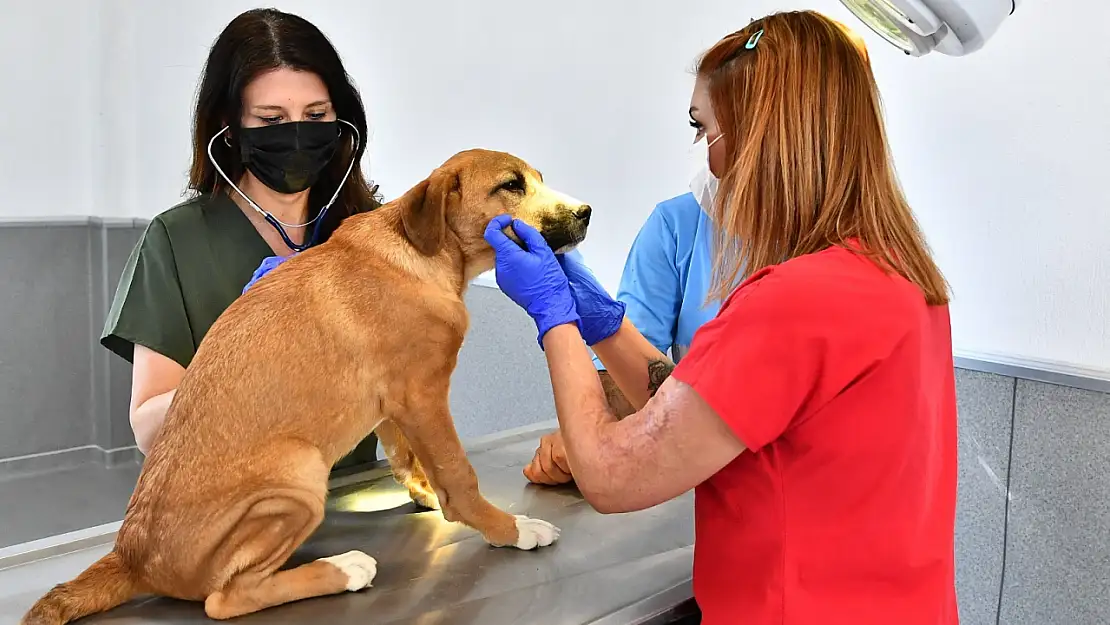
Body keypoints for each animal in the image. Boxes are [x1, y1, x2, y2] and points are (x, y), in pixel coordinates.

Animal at [21, 148, 590, 621]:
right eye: (511, 184)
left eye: (539, 179)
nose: (586, 211)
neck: (422, 254)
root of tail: (130, 555)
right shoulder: (423, 395)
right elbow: (459, 474)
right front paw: (510, 529)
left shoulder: (393, 403)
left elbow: (409, 457)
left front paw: (427, 495)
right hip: (298, 473)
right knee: (224, 599)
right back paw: (344, 569)